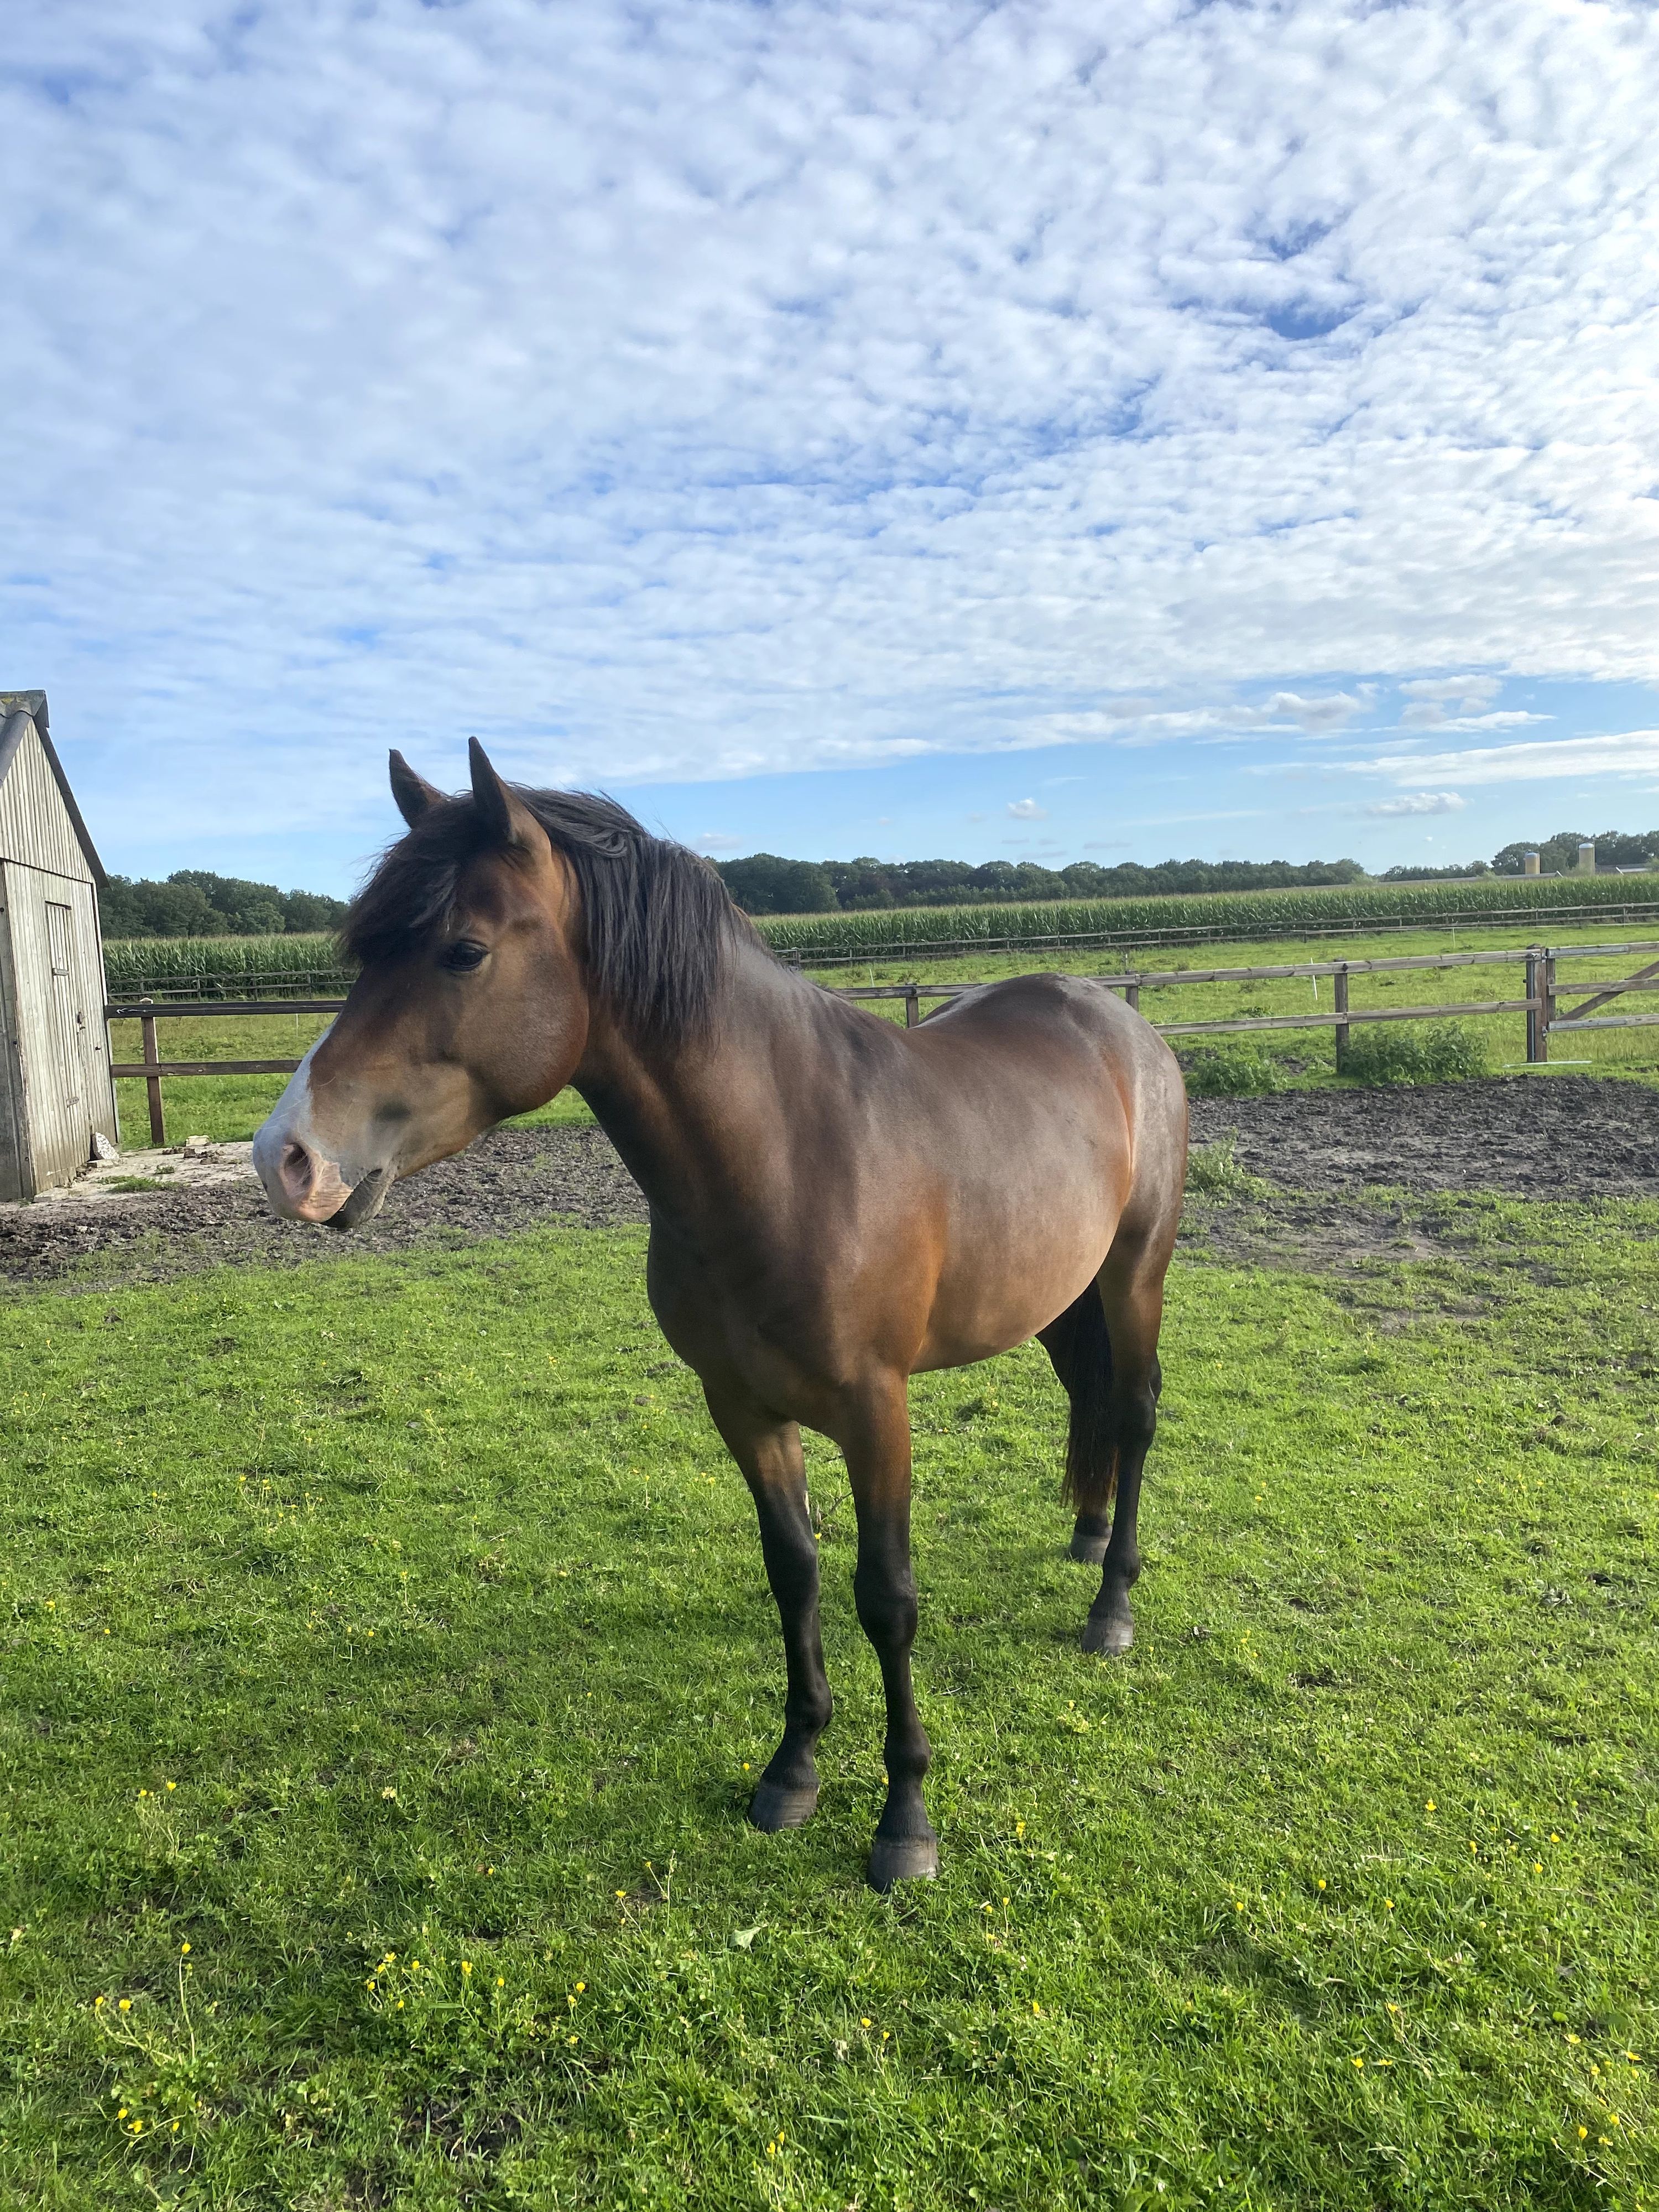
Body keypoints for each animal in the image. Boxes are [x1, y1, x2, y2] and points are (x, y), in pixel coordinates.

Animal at [253, 742, 1188, 1889]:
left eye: (462, 952)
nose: (287, 1158)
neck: (790, 1152)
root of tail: (1122, 1021)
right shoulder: (741, 1406)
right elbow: (794, 1574)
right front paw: (794, 1769)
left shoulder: (878, 1412)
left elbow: (886, 1598)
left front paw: (905, 1819)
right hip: (1058, 1295)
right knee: (1087, 1398)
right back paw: (1087, 1538)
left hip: (1135, 1273)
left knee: (1133, 1413)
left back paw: (1113, 1607)